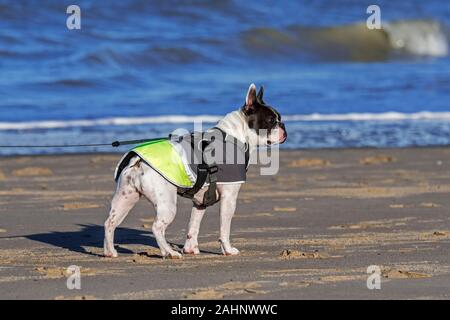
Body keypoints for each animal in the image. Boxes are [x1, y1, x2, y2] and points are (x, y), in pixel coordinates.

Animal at [103, 84, 286, 258]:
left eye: (279, 118)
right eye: (271, 120)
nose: (283, 126)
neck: (237, 136)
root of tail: (139, 161)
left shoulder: (200, 202)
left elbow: (193, 225)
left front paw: (190, 249)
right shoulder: (229, 198)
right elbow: (224, 229)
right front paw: (227, 250)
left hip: (126, 197)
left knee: (110, 222)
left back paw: (110, 252)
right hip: (167, 204)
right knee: (157, 227)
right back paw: (169, 252)